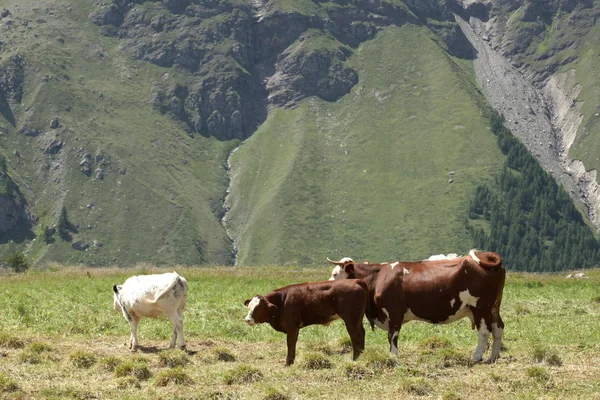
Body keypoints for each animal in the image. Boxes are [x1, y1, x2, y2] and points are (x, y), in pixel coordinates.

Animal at [328, 252, 506, 364]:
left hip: (480, 307)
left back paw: (476, 357)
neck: (378, 276)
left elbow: (392, 336)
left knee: (484, 332)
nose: (328, 286)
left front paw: (393, 357)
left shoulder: (394, 312)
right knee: (498, 328)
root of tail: (485, 256)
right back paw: (492, 357)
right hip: (493, 307)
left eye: (335, 274)